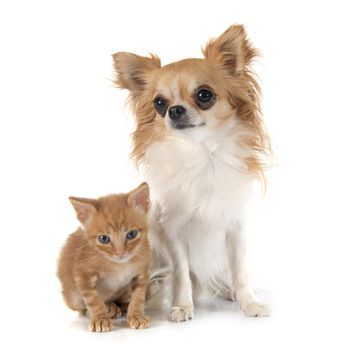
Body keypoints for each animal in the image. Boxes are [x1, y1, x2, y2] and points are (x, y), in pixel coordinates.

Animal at [56, 182, 151, 332]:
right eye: (104, 239)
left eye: (132, 234)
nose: (120, 253)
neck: (119, 265)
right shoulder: (82, 274)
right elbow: (93, 300)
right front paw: (100, 319)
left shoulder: (142, 272)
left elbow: (138, 296)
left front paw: (136, 315)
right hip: (72, 296)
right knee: (82, 308)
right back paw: (107, 308)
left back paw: (121, 306)